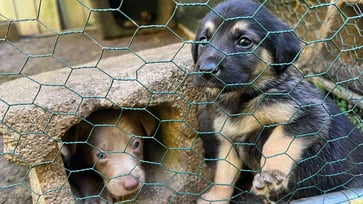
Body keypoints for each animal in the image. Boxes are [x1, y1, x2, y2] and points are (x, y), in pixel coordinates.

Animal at [192, 0, 362, 202]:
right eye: (203, 40)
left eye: (244, 42)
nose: (206, 70)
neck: (245, 98)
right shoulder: (227, 141)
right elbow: (223, 174)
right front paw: (216, 197)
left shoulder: (310, 113)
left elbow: (277, 142)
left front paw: (271, 175)